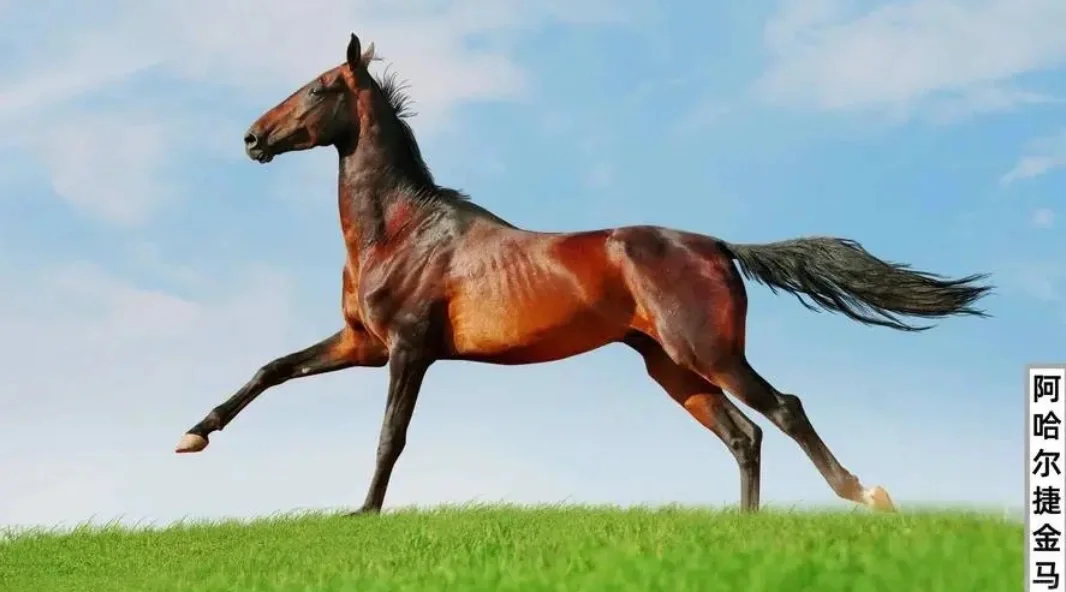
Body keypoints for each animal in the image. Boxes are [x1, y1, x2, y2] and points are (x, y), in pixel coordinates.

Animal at [175, 33, 992, 515]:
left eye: (319, 87)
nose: (252, 138)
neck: (404, 232)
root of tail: (719, 244)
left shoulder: (407, 349)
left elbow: (390, 436)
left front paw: (363, 514)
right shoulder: (362, 344)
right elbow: (271, 369)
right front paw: (192, 437)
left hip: (707, 353)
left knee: (783, 410)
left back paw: (867, 494)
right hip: (672, 367)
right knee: (744, 435)